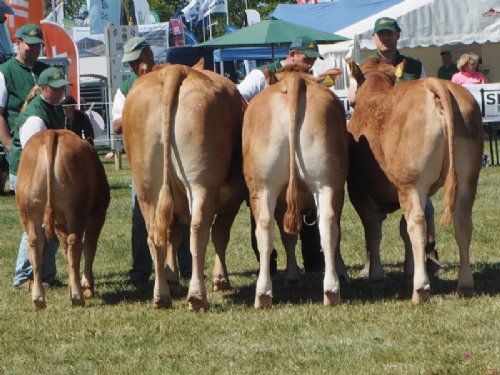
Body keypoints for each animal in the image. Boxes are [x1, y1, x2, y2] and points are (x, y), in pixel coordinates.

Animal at [15, 130, 109, 312]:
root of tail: (51, 133)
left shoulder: (59, 222)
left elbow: (65, 251)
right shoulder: (98, 213)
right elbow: (89, 248)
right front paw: (86, 285)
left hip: (29, 210)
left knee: (35, 245)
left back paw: (38, 299)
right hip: (76, 210)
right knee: (75, 243)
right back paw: (78, 297)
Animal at [121, 64, 246, 312]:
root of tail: (174, 70)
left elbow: (172, 236)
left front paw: (173, 279)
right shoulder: (233, 199)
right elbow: (220, 235)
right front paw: (221, 280)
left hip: (147, 187)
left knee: (154, 236)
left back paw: (161, 296)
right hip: (200, 182)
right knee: (198, 231)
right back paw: (197, 297)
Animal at [244, 64, 350, 310]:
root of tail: (293, 81)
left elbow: (288, 237)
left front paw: (292, 276)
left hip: (265, 187)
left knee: (265, 229)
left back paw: (264, 294)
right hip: (326, 183)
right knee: (328, 225)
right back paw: (331, 289)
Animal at [348, 57, 484, 304]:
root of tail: (434, 84)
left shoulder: (359, 191)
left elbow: (373, 231)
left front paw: (376, 277)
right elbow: (401, 231)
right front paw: (407, 270)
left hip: (411, 184)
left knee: (417, 225)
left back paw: (420, 289)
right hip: (466, 180)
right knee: (462, 223)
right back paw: (464, 286)